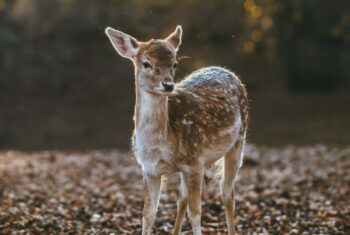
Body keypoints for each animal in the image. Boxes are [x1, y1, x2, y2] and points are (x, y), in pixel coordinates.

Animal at [104, 25, 249, 235]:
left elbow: (195, 213)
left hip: (239, 140)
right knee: (182, 198)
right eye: (146, 63)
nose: (168, 84)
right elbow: (148, 214)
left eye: (175, 64)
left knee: (227, 192)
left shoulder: (196, 161)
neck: (160, 146)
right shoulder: (149, 169)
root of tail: (226, 70)